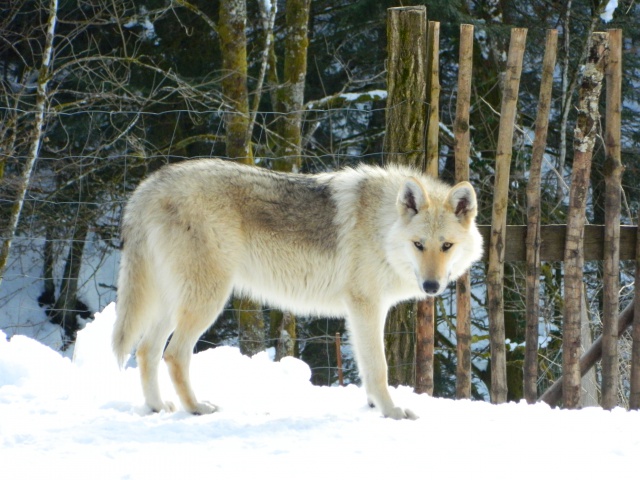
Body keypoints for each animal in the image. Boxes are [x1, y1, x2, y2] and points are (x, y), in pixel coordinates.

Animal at [112, 159, 482, 418]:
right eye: (419, 245)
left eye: (446, 246)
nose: (431, 286)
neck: (382, 226)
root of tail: (148, 186)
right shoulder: (366, 306)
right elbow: (379, 368)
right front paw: (391, 412)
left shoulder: (363, 312)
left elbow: (366, 366)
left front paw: (374, 407)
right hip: (207, 300)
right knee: (174, 354)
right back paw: (196, 408)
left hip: (172, 303)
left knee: (146, 351)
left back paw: (158, 407)